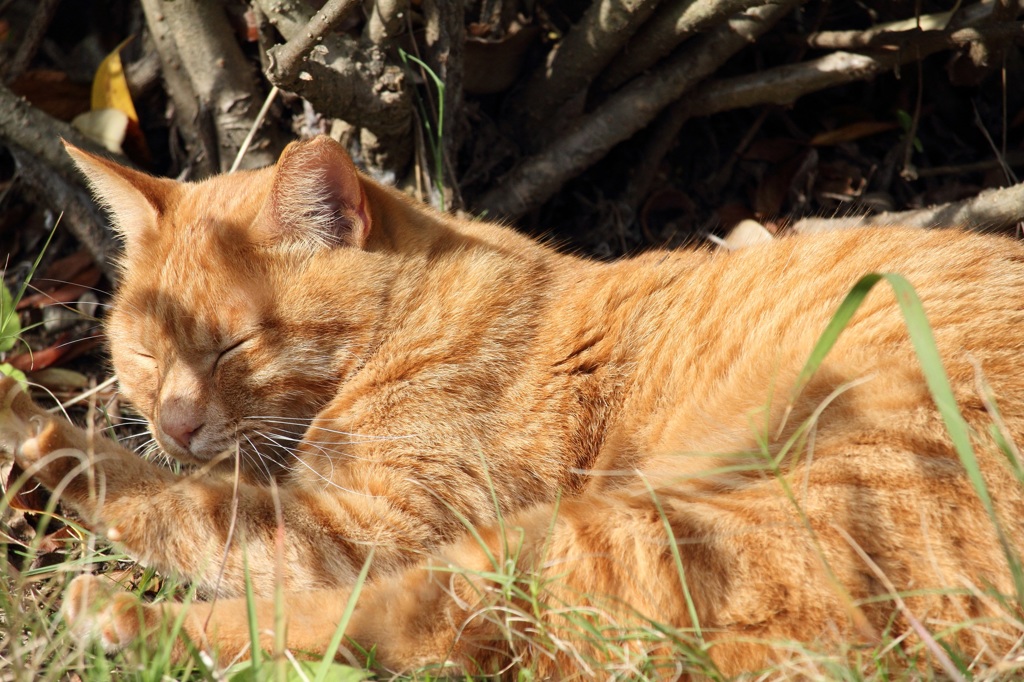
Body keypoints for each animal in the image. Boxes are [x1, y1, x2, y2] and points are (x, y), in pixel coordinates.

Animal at [2, 134, 1024, 675]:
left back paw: (121, 619)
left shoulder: (353, 532)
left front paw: (32, 423)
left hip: (617, 529)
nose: (175, 424)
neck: (417, 315)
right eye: (142, 352)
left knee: (398, 625)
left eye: (231, 347)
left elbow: (183, 506)